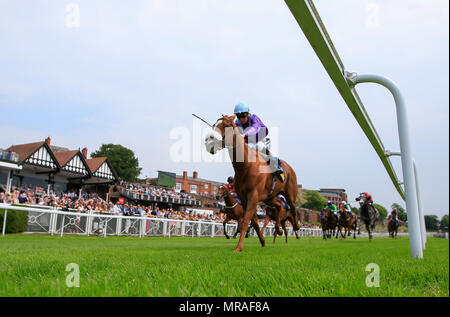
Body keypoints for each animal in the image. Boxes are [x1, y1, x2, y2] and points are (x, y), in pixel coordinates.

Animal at [207, 115, 298, 251]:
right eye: (214, 124)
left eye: (226, 125)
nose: (209, 142)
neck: (245, 165)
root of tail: (289, 167)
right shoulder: (245, 198)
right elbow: (254, 222)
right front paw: (263, 240)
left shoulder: (253, 196)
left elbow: (245, 221)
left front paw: (238, 247)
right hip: (269, 197)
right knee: (279, 207)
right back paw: (278, 229)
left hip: (290, 193)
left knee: (292, 208)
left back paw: (296, 227)